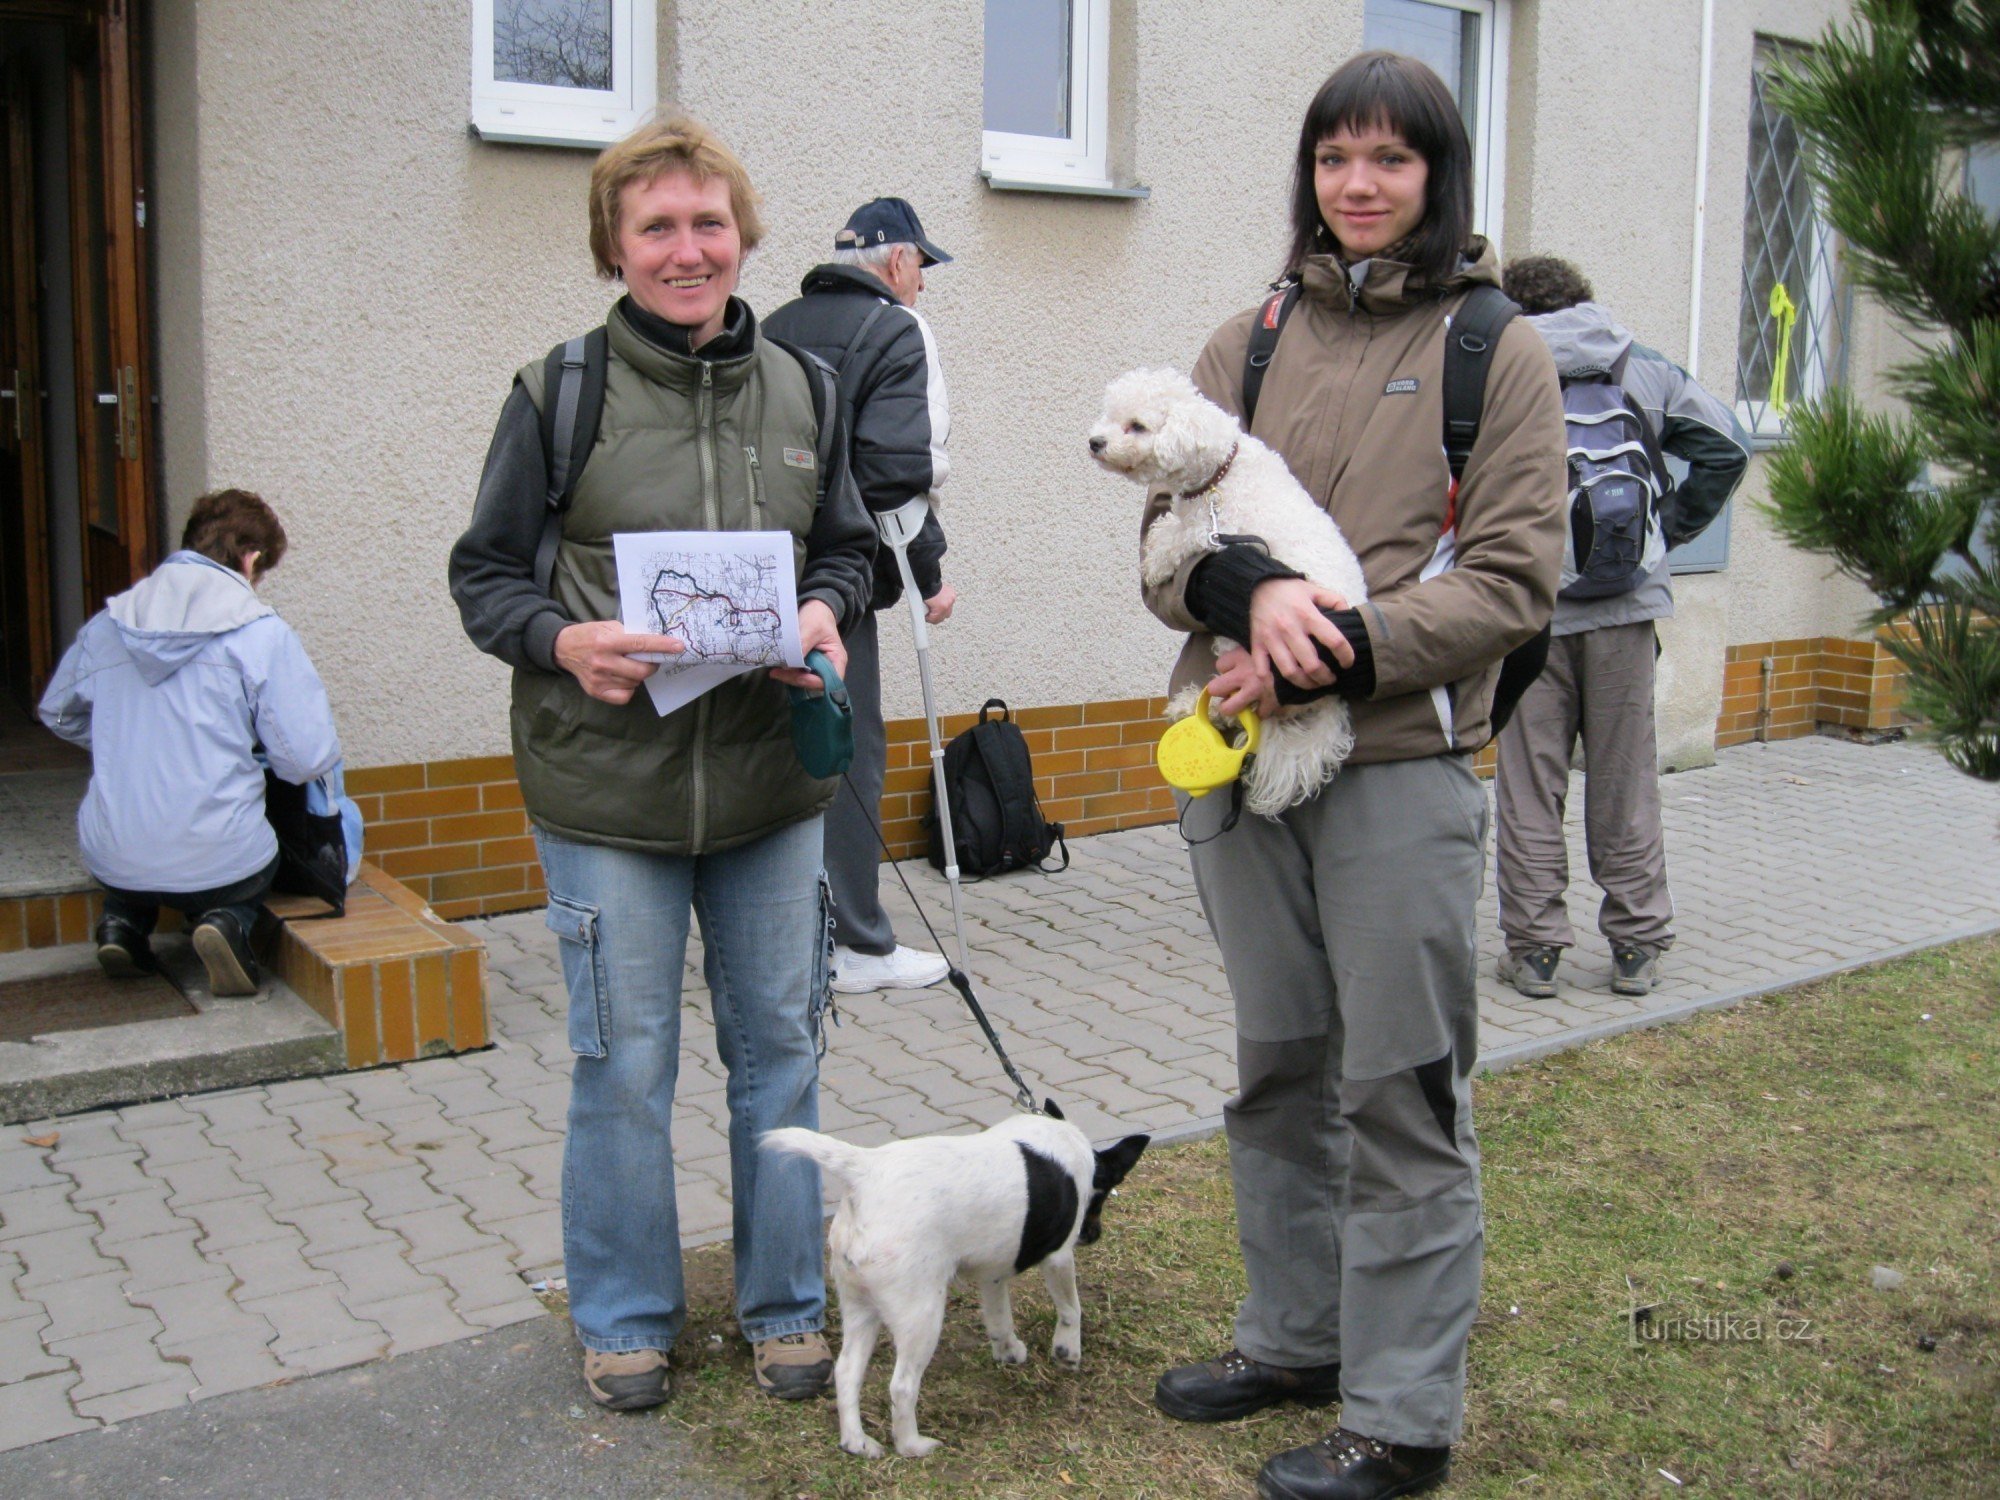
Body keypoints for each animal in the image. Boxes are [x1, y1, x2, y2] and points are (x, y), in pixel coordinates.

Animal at [756, 1112, 1152, 1464]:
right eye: (1102, 1196)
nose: (1094, 1234)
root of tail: (865, 1171)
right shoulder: (1058, 1258)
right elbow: (1071, 1308)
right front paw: (1068, 1351)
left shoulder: (993, 1272)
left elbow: (999, 1317)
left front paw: (1008, 1351)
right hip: (922, 1317)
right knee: (902, 1386)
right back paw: (912, 1446)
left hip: (859, 1305)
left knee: (847, 1373)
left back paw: (858, 1442)